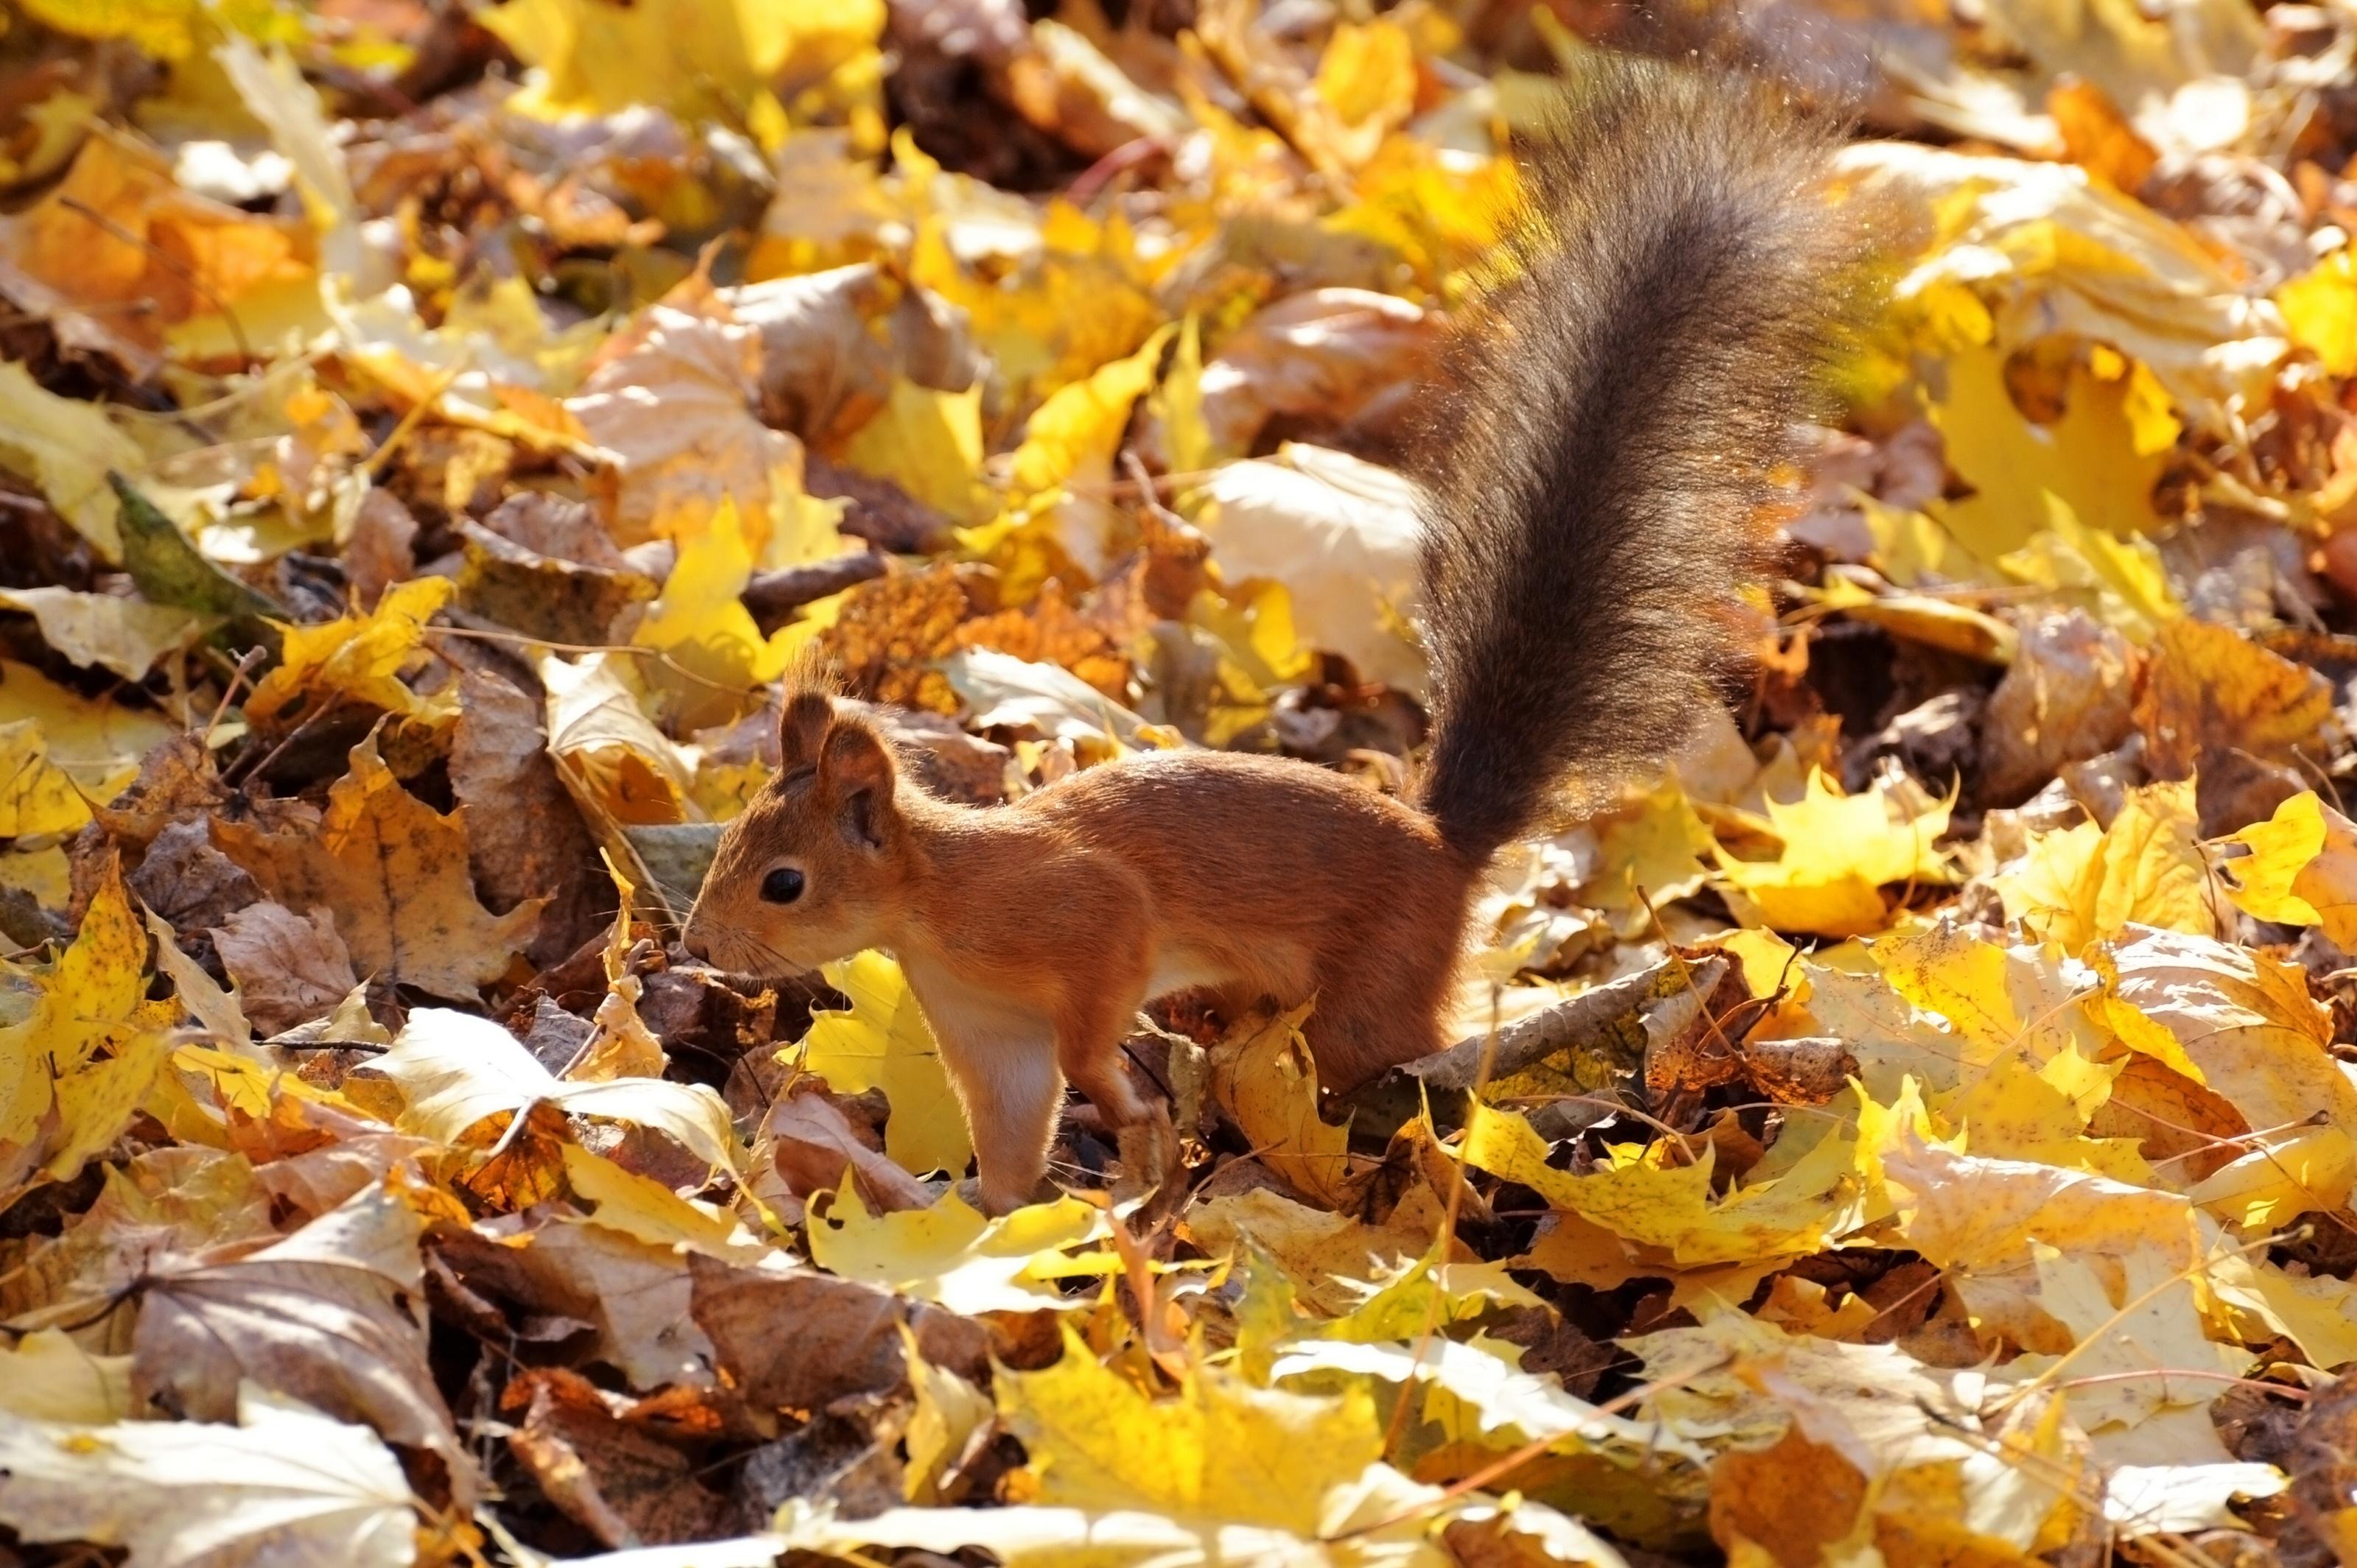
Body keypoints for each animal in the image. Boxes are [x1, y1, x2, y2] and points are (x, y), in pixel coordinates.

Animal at [684, 61, 1857, 1207]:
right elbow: (1012, 1129)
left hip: (1369, 990)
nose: (697, 943)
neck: (934, 903)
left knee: (1396, 1067)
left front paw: (1125, 1103)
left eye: (784, 881)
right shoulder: (988, 1028)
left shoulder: (1086, 917)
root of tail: (1444, 848)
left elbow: (1093, 1025)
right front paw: (985, 1217)